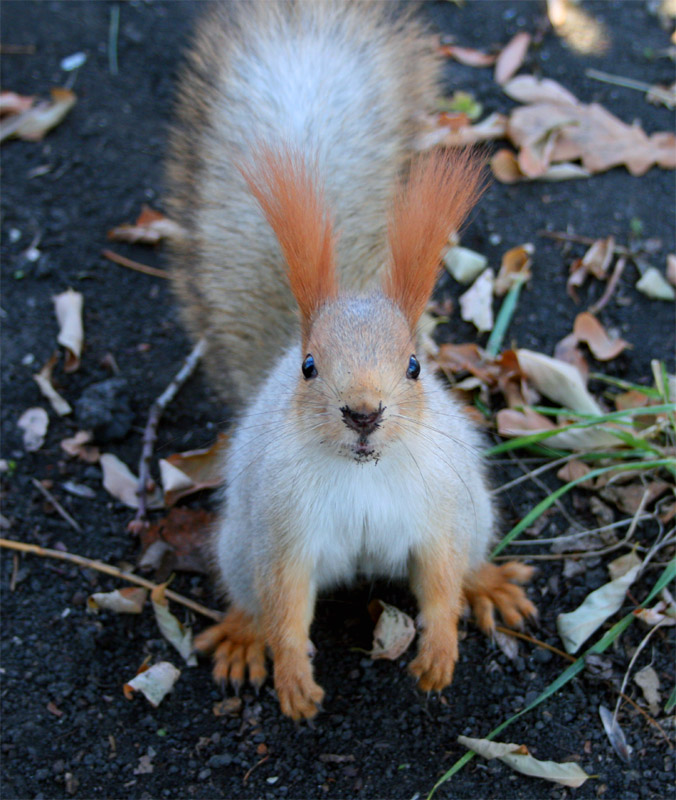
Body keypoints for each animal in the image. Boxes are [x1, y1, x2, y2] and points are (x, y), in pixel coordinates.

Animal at [166, 0, 536, 720]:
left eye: (416, 365)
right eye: (309, 366)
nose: (363, 413)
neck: (365, 473)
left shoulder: (440, 510)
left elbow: (440, 578)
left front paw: (439, 650)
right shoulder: (282, 531)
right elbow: (285, 603)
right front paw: (293, 680)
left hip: (475, 511)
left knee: (467, 562)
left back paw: (488, 584)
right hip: (240, 542)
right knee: (252, 596)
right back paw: (243, 636)